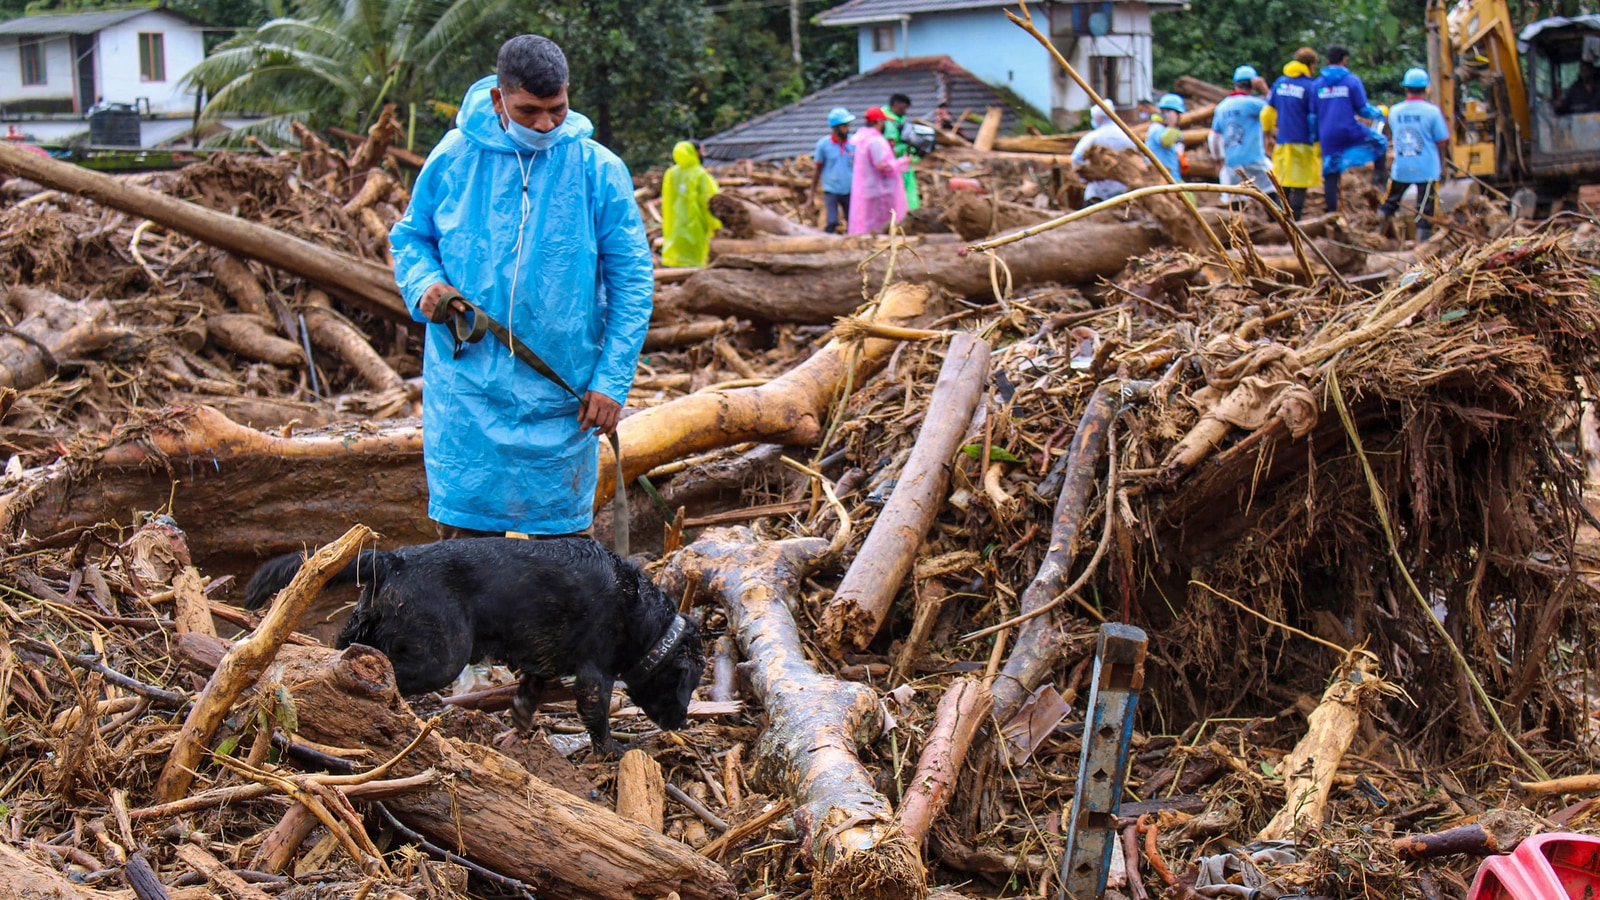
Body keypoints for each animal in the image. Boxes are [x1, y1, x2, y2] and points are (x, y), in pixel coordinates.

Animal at [243, 531, 700, 749]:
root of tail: (393, 560)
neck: (642, 616)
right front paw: (614, 754)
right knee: (384, 670)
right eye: (687, 684)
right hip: (442, 656)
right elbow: (598, 721)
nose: (681, 722)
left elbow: (526, 697)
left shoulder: (540, 663)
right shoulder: (595, 675)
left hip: (368, 623)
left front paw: (518, 730)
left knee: (345, 648)